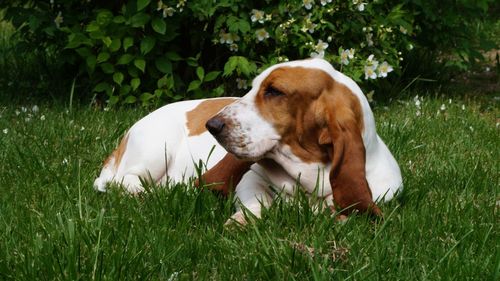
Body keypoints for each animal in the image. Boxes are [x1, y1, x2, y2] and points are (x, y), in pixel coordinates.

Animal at [95, 57, 404, 223]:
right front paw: (242, 220)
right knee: (126, 181)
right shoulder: (249, 182)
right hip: (156, 148)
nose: (212, 125)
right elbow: (257, 202)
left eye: (274, 91)